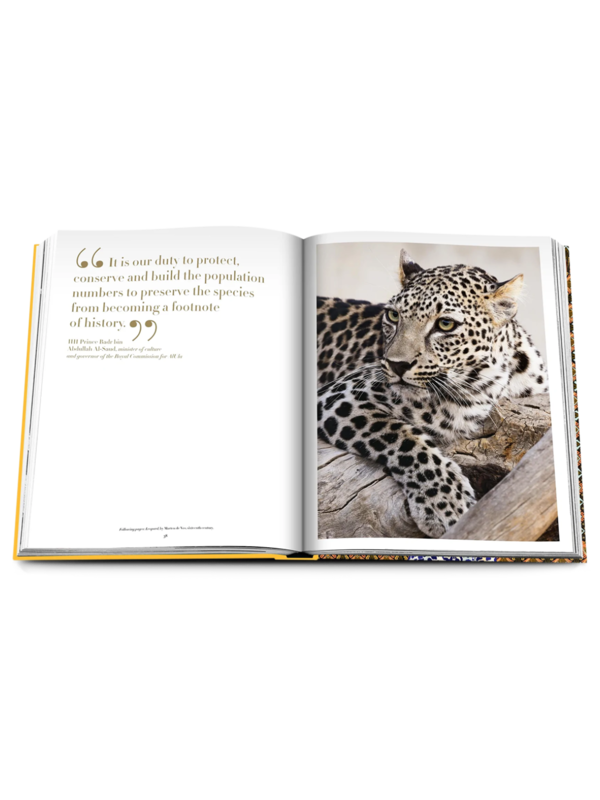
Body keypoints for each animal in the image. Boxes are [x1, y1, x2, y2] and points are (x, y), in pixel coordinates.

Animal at [317, 249, 549, 539]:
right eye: (393, 316)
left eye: (445, 324)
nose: (396, 365)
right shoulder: (343, 395)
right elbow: (403, 439)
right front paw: (446, 504)